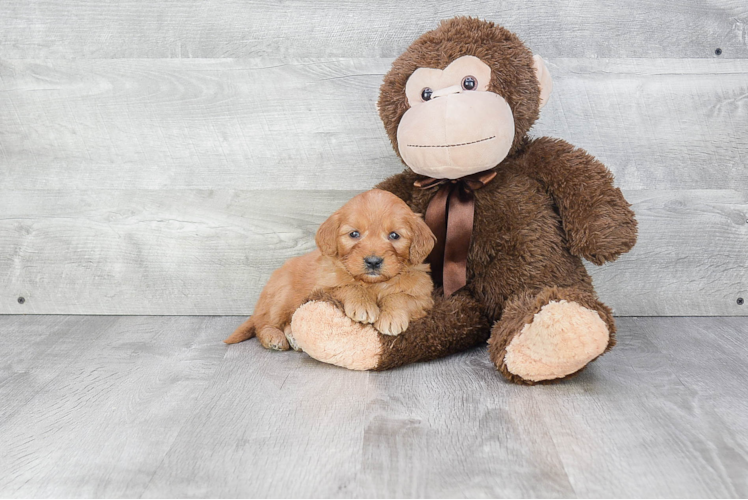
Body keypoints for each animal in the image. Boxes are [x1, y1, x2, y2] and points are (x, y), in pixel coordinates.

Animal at [225, 189, 436, 350]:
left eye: (394, 235)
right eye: (354, 234)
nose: (373, 262)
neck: (372, 284)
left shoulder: (424, 298)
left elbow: (400, 296)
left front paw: (391, 316)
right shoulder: (322, 288)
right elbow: (348, 286)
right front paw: (363, 304)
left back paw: (294, 337)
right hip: (281, 296)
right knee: (264, 323)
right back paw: (273, 338)